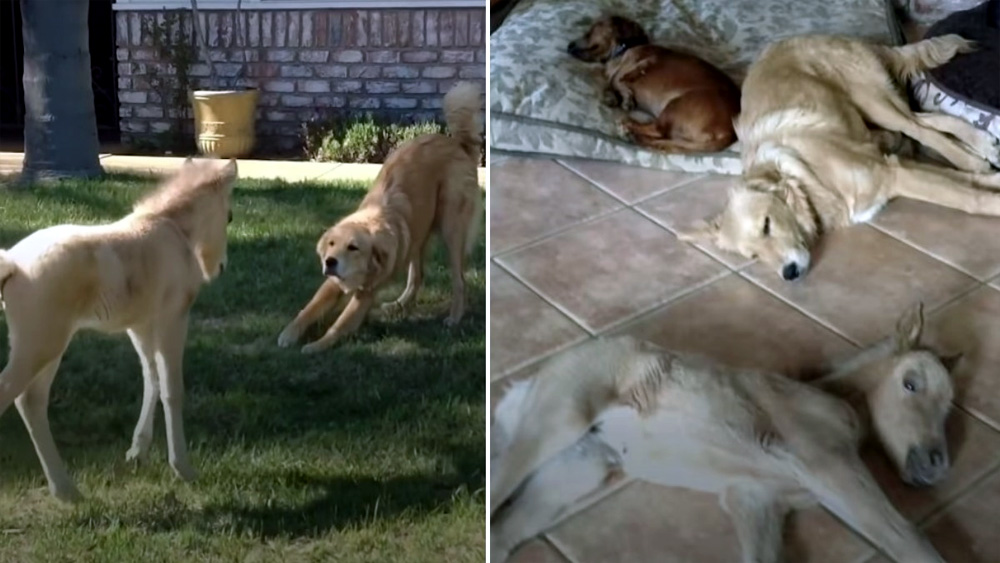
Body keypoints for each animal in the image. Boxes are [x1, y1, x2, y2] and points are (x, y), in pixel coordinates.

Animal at [278, 81, 484, 354]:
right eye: (331, 244)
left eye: (353, 247)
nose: (330, 262)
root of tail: (456, 144)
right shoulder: (333, 283)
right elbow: (309, 309)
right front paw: (289, 334)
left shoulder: (365, 294)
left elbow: (338, 325)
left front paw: (316, 346)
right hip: (417, 234)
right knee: (417, 275)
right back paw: (399, 306)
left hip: (451, 230)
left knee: (459, 280)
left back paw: (454, 317)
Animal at [568, 16, 740, 152]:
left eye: (590, 31)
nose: (569, 45)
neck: (623, 51)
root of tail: (729, 133)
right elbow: (611, 82)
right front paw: (613, 97)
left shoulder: (645, 61)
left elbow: (618, 79)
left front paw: (626, 97)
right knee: (660, 137)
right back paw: (634, 136)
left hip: (676, 105)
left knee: (657, 129)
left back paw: (629, 125)